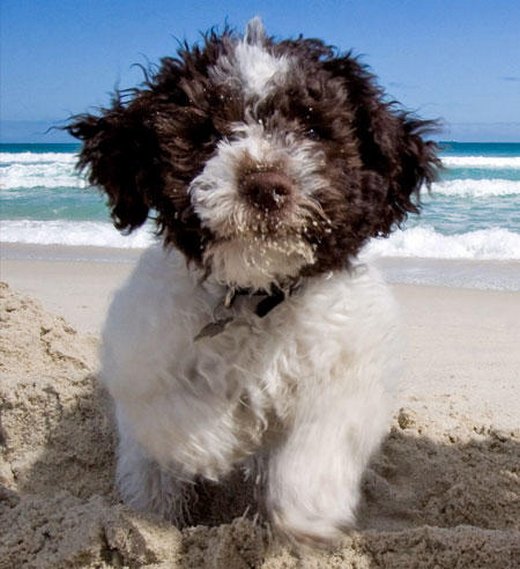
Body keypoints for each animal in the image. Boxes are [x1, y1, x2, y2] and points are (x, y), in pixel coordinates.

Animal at [67, 16, 436, 540]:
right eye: (206, 132)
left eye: (312, 126)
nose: (265, 185)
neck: (254, 297)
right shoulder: (139, 352)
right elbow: (168, 412)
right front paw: (209, 441)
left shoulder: (351, 362)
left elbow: (325, 429)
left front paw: (311, 506)